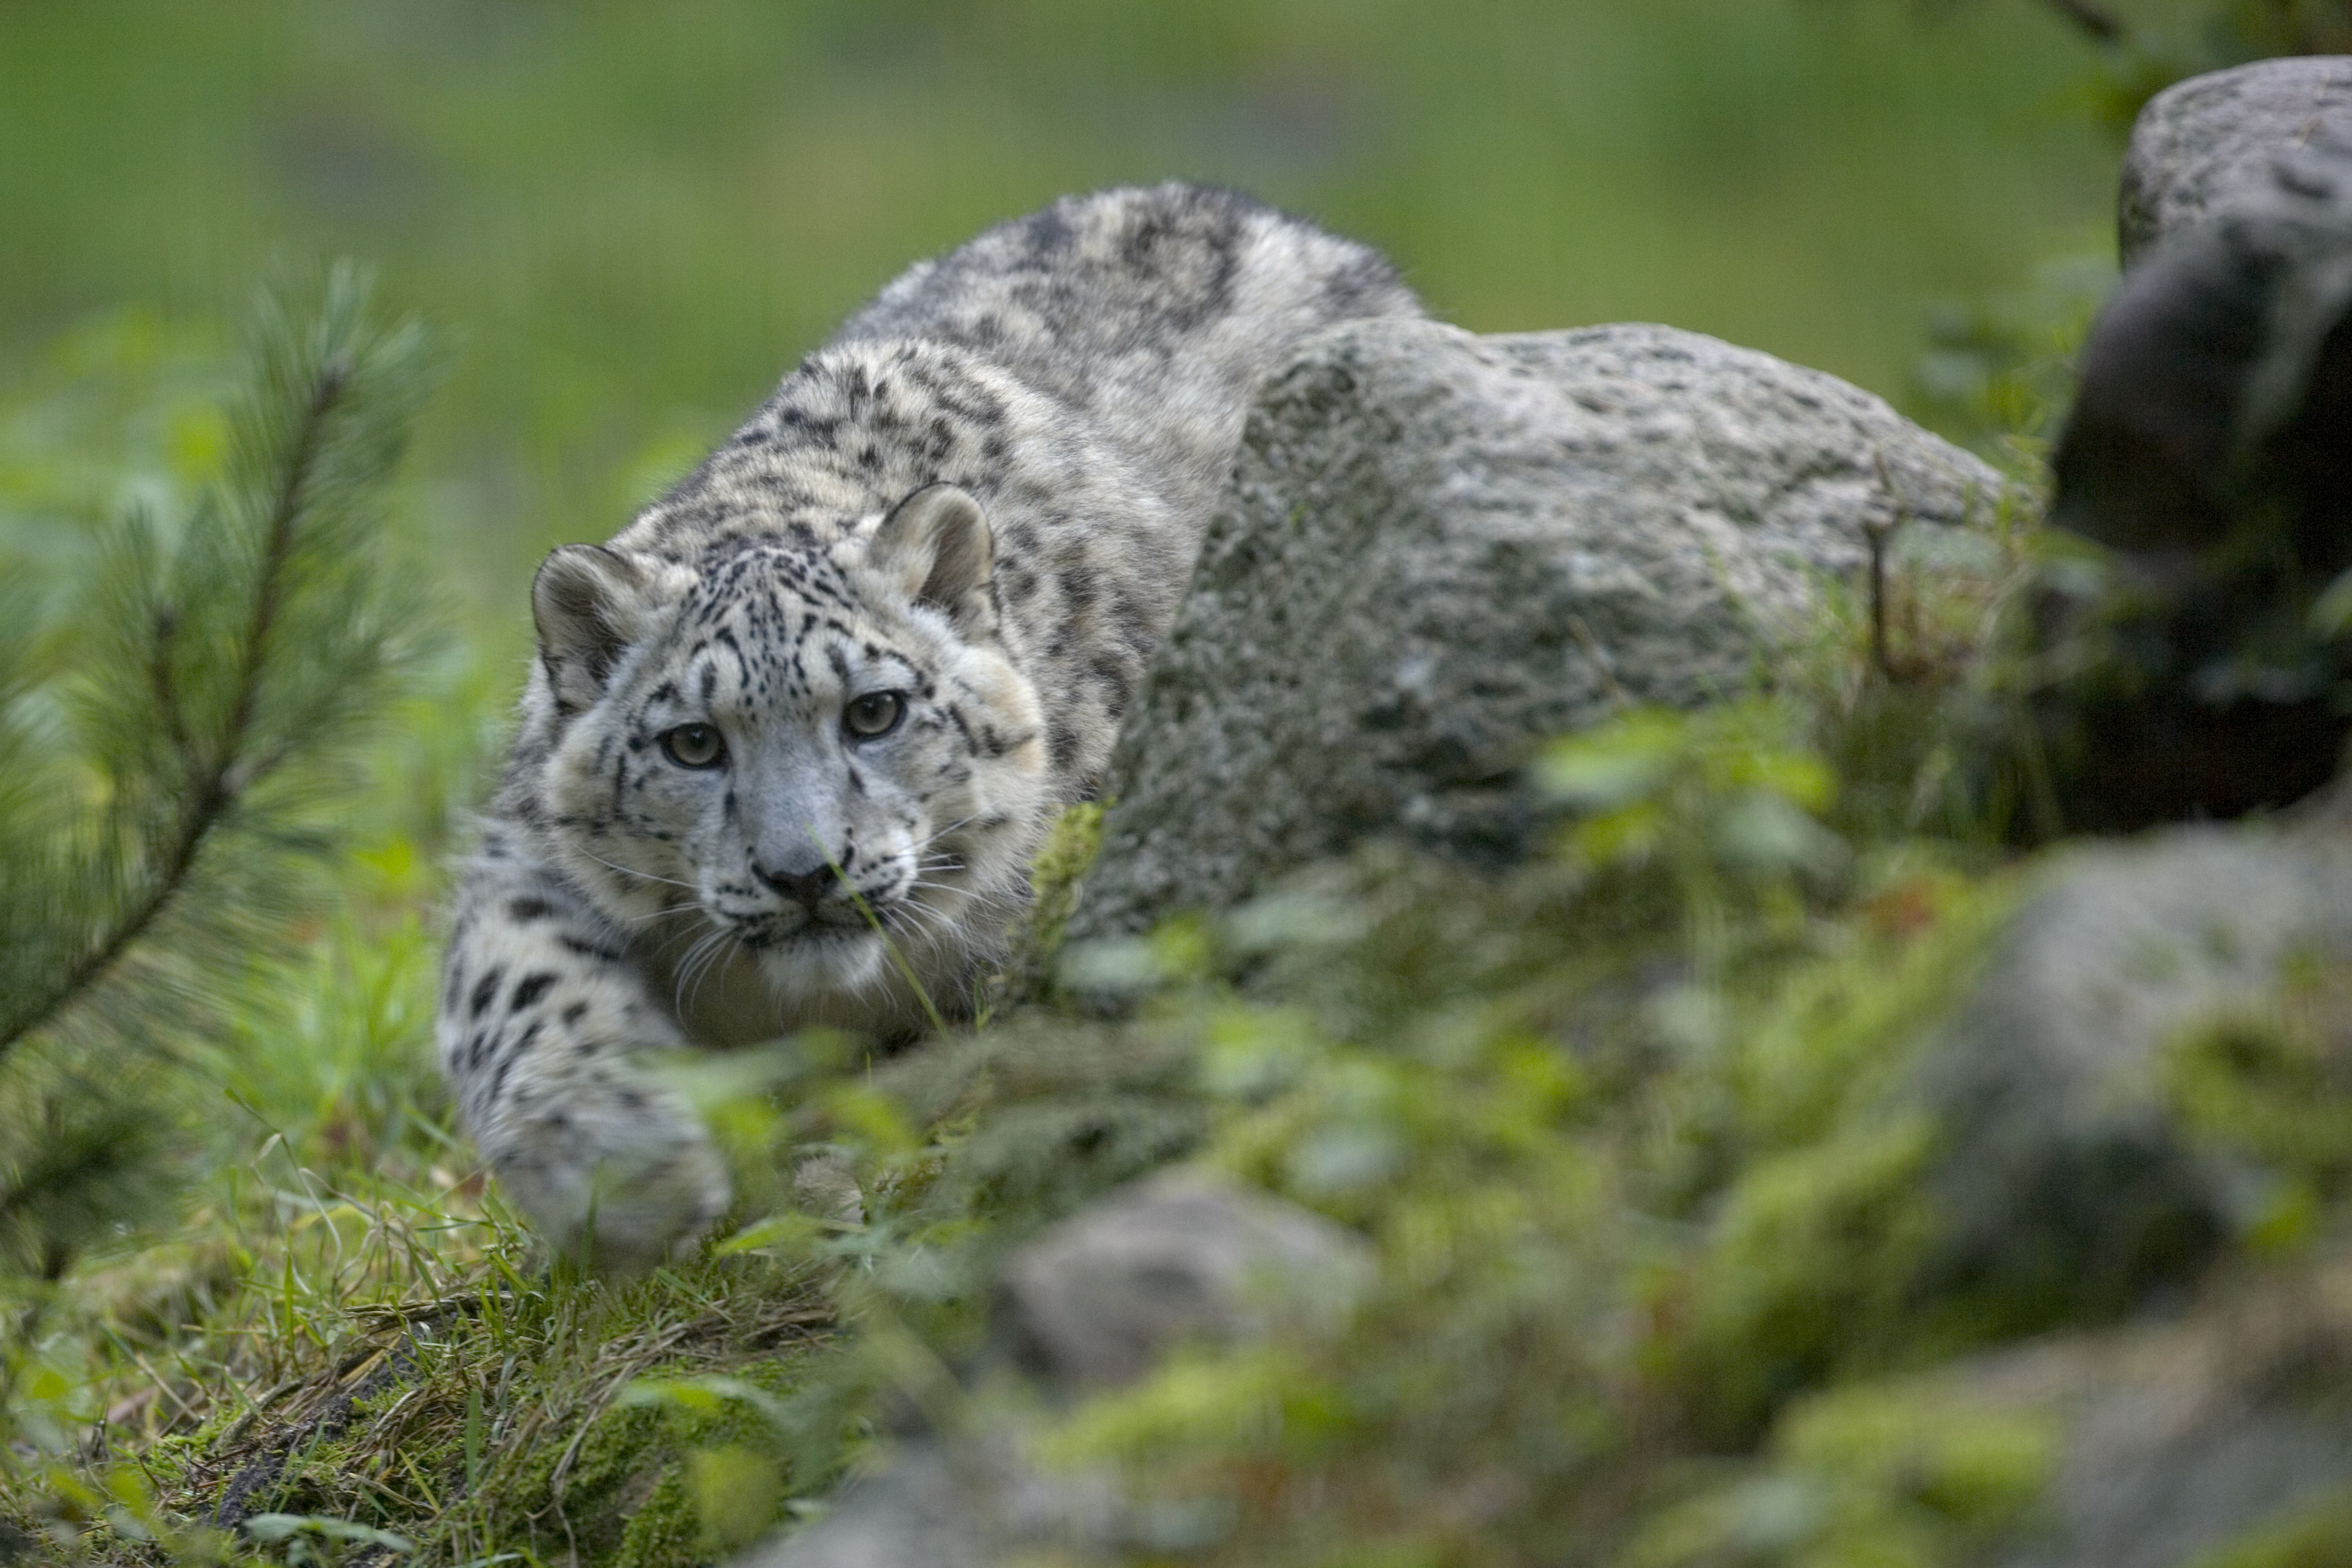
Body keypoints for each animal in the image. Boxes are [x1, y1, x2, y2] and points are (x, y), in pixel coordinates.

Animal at [444, 181, 1430, 1260]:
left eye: (874, 712)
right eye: (693, 742)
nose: (804, 873)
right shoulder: (522, 853)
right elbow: (515, 976)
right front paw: (615, 1163)